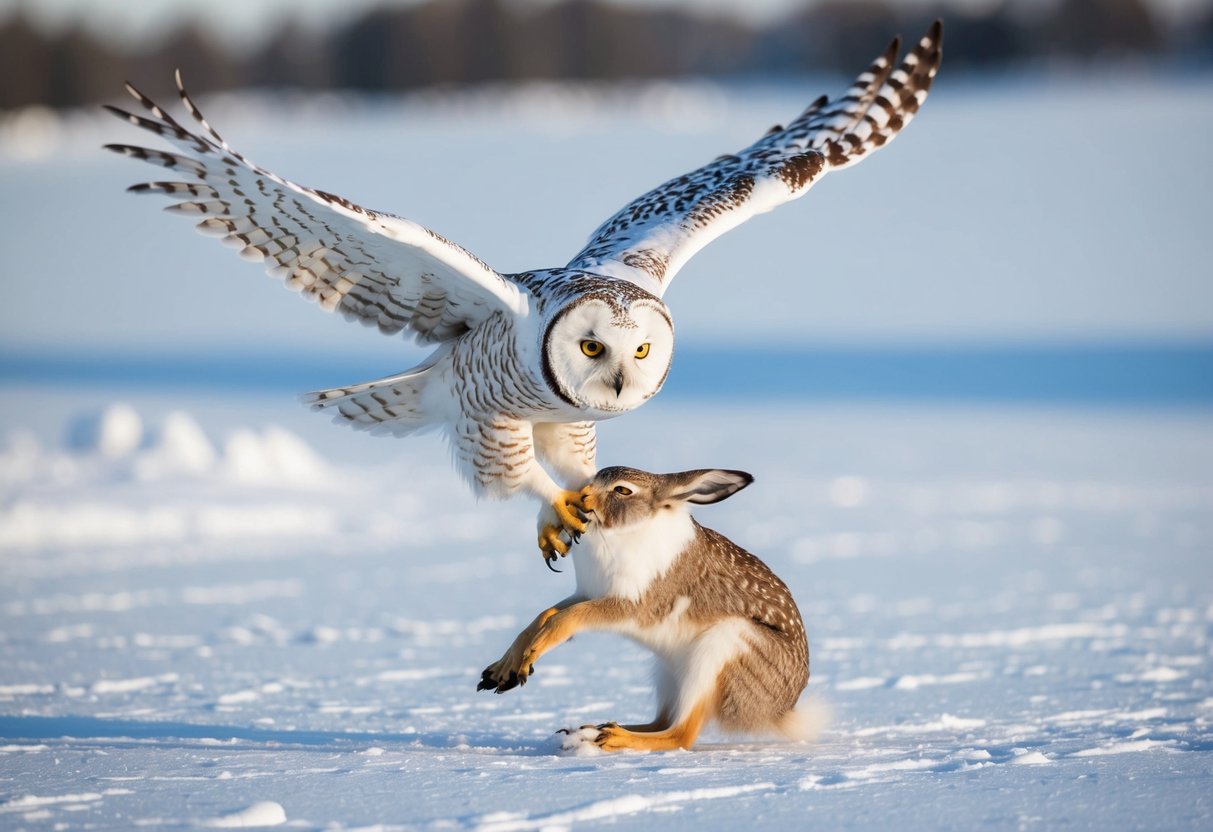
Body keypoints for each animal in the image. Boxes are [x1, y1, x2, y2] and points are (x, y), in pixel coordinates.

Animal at [478, 465, 810, 752]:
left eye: (623, 490)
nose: (581, 497)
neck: (624, 531)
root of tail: (782, 711)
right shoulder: (585, 592)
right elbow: (545, 615)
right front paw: (505, 669)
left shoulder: (631, 606)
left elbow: (568, 618)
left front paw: (531, 654)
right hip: (669, 671)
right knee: (661, 720)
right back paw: (589, 731)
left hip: (724, 646)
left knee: (680, 733)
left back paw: (611, 737)